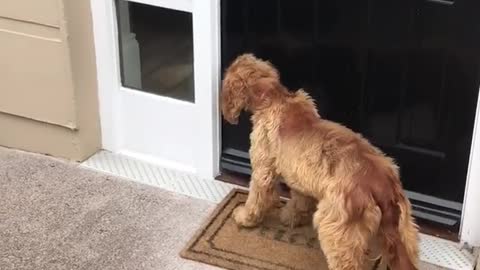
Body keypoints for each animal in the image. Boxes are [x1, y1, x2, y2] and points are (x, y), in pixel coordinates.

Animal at [222, 54, 420, 270]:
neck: (275, 97)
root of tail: (384, 185)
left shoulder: (263, 170)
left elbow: (256, 198)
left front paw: (244, 217)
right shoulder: (299, 174)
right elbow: (299, 201)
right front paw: (291, 217)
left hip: (336, 229)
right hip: (405, 233)